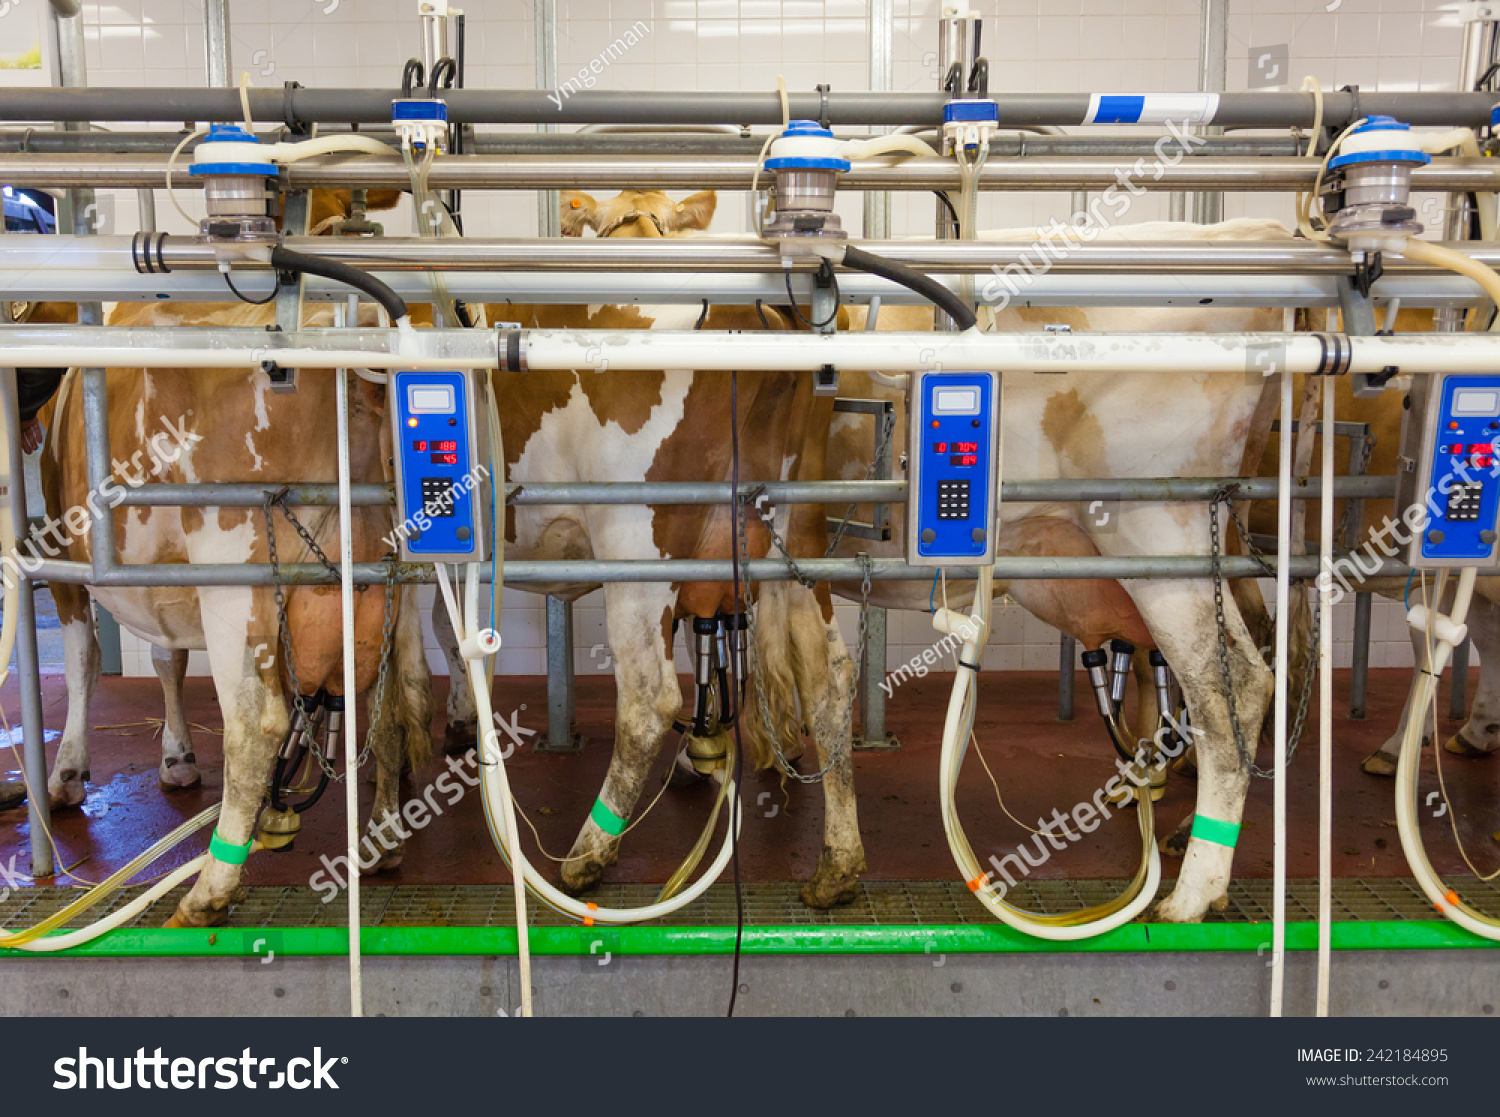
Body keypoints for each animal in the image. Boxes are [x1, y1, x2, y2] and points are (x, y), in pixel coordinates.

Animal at [423, 189, 870, 905]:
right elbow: (447, 623)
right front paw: (466, 713)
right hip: (794, 535)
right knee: (829, 678)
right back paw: (838, 865)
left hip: (634, 541)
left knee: (647, 699)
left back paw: (587, 852)